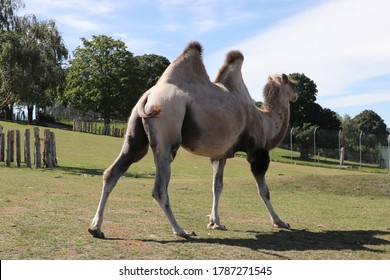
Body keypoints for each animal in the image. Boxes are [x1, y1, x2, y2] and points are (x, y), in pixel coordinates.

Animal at [88, 41, 298, 238]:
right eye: (293, 83)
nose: (297, 94)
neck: (265, 121)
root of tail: (148, 96)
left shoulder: (220, 155)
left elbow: (217, 186)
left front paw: (216, 223)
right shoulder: (257, 150)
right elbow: (264, 190)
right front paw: (280, 222)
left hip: (135, 134)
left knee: (113, 171)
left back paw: (96, 228)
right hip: (167, 132)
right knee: (159, 188)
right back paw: (181, 231)